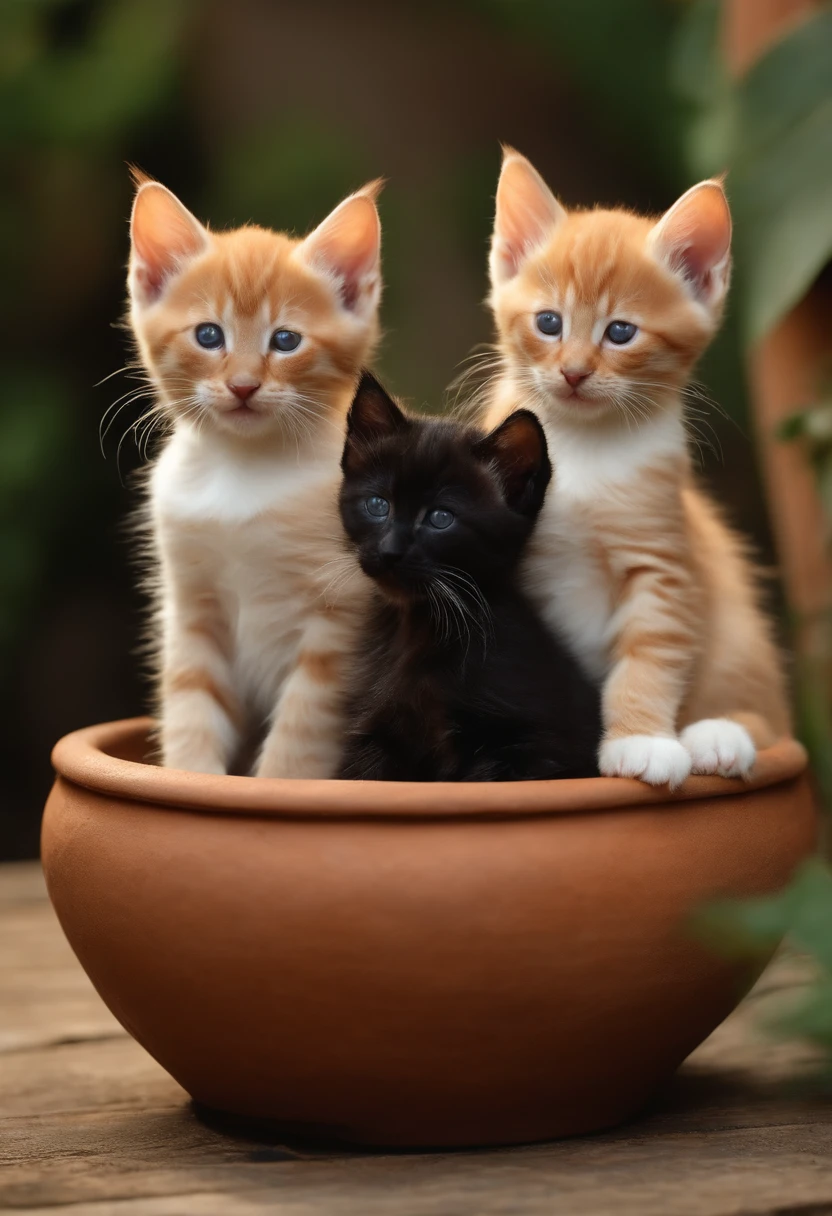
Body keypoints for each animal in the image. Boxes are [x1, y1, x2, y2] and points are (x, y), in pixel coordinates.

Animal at [127, 172, 384, 773]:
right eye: (208, 335)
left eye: (285, 340)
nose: (243, 385)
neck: (243, 472)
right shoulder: (191, 608)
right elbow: (190, 701)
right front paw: (191, 778)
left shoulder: (340, 616)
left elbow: (302, 726)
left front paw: (277, 783)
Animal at [335, 374, 600, 783]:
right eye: (378, 505)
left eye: (440, 518)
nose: (390, 551)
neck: (418, 630)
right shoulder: (373, 736)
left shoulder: (536, 745)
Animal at [481, 147, 788, 787]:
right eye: (549, 323)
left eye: (620, 332)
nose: (573, 372)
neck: (584, 448)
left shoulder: (664, 563)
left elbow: (650, 655)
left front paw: (640, 740)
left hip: (737, 634)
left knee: (770, 721)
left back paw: (719, 736)